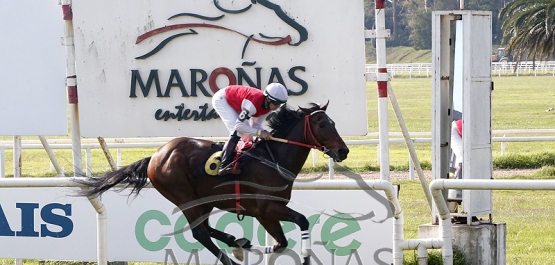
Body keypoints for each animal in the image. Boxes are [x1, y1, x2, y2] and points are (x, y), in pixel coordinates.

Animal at [76, 101, 350, 264]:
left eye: (334, 122)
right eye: (322, 124)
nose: (343, 151)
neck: (274, 159)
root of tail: (155, 155)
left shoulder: (267, 212)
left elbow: (283, 241)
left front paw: (246, 246)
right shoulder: (266, 209)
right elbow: (296, 227)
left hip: (204, 200)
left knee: (206, 229)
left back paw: (237, 242)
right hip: (184, 197)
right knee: (199, 232)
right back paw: (230, 255)